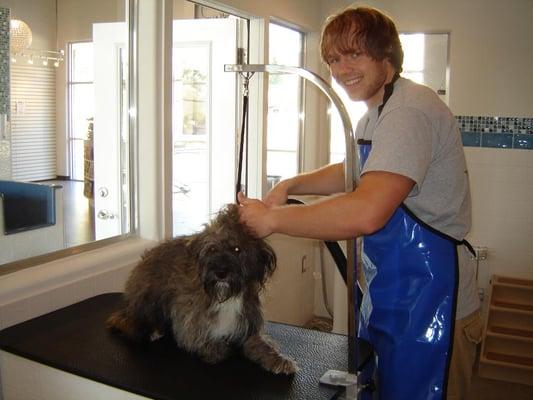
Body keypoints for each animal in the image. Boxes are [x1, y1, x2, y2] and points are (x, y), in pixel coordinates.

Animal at [108, 203, 298, 376]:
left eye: (237, 249)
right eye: (212, 248)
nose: (221, 273)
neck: (226, 295)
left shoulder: (248, 327)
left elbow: (262, 345)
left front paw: (279, 360)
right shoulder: (188, 322)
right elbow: (202, 341)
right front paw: (216, 349)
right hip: (149, 297)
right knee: (125, 321)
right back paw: (151, 330)